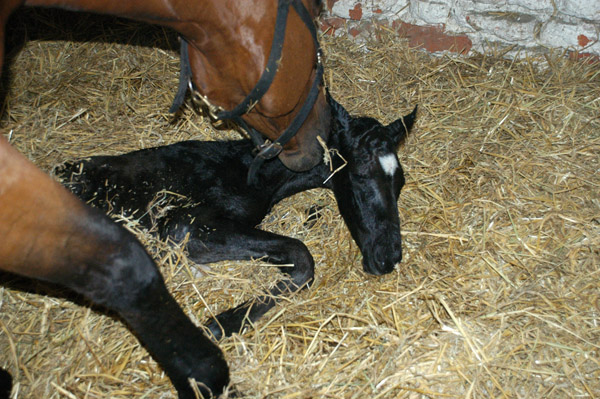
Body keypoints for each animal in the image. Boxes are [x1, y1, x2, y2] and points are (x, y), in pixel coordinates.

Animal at [58, 94, 420, 340]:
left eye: (400, 181)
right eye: (358, 174)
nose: (388, 258)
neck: (248, 172)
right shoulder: (183, 226)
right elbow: (300, 255)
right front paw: (221, 323)